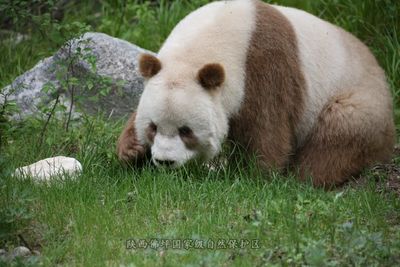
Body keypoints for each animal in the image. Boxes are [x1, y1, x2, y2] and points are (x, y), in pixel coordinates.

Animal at [115, 0, 394, 187]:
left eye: (186, 131)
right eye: (153, 127)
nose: (164, 161)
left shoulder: (263, 66)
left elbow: (267, 128)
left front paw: (253, 177)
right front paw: (131, 149)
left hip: (357, 98)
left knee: (338, 134)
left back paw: (301, 179)